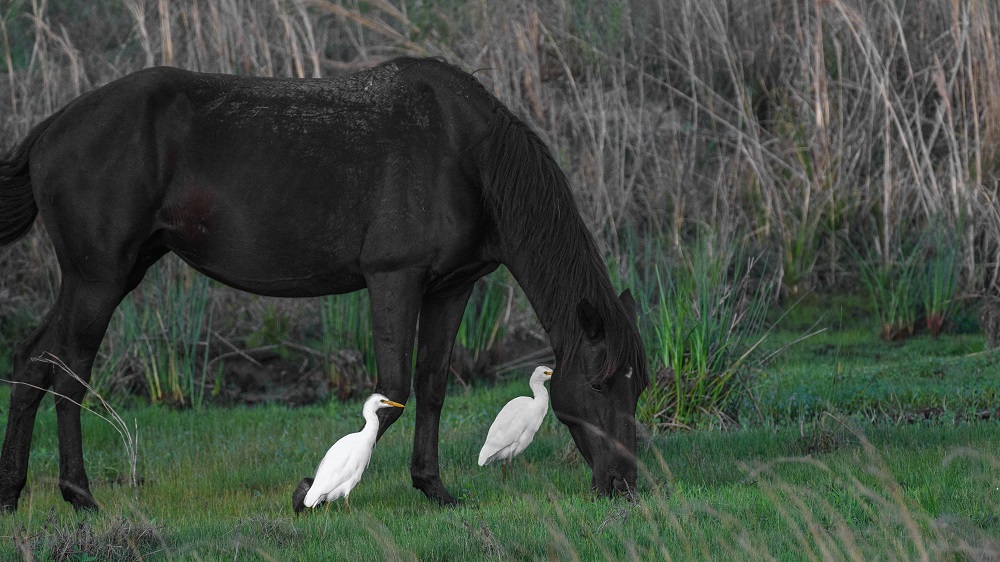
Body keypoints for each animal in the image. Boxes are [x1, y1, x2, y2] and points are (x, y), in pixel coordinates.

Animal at [0, 55, 648, 508]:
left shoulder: (452, 286)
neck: (464, 155)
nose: (623, 484)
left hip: (111, 274)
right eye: (599, 384)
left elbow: (433, 385)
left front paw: (433, 487)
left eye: (638, 387)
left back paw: (14, 492)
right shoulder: (394, 279)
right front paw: (311, 489)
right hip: (98, 280)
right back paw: (80, 495)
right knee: (69, 371)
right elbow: (390, 396)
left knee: (35, 362)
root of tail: (51, 128)